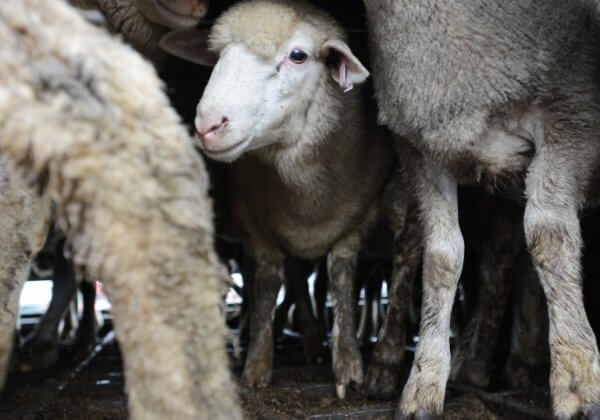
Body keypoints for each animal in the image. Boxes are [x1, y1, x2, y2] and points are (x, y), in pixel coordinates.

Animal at [364, 0, 600, 418]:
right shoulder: (422, 146)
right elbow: (441, 256)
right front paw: (424, 382)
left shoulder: (572, 115)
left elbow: (548, 234)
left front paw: (576, 381)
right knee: (500, 258)